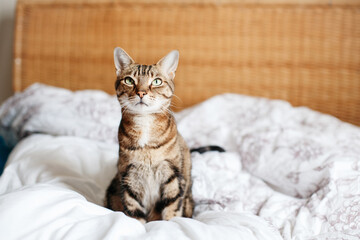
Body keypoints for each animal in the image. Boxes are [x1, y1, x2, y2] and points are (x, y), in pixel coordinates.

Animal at [104, 47, 194, 223]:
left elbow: (172, 208)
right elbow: (134, 211)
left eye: (157, 81)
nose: (141, 92)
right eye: (129, 80)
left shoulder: (172, 174)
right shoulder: (128, 177)